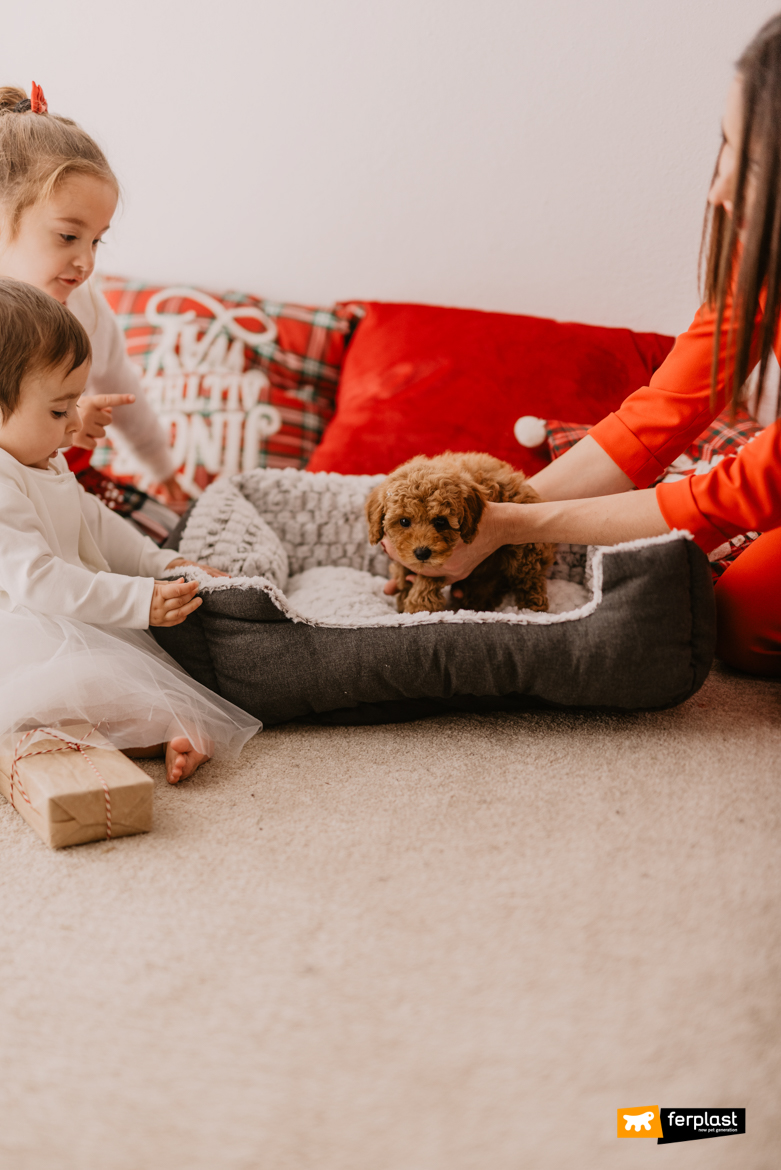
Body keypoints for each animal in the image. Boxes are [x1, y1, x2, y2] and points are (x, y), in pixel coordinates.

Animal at [367, 449, 554, 617]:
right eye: (404, 521)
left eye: (440, 522)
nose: (422, 553)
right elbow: (402, 574)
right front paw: (403, 599)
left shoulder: (440, 566)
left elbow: (426, 582)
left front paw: (417, 609)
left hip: (526, 551)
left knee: (530, 580)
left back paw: (532, 607)